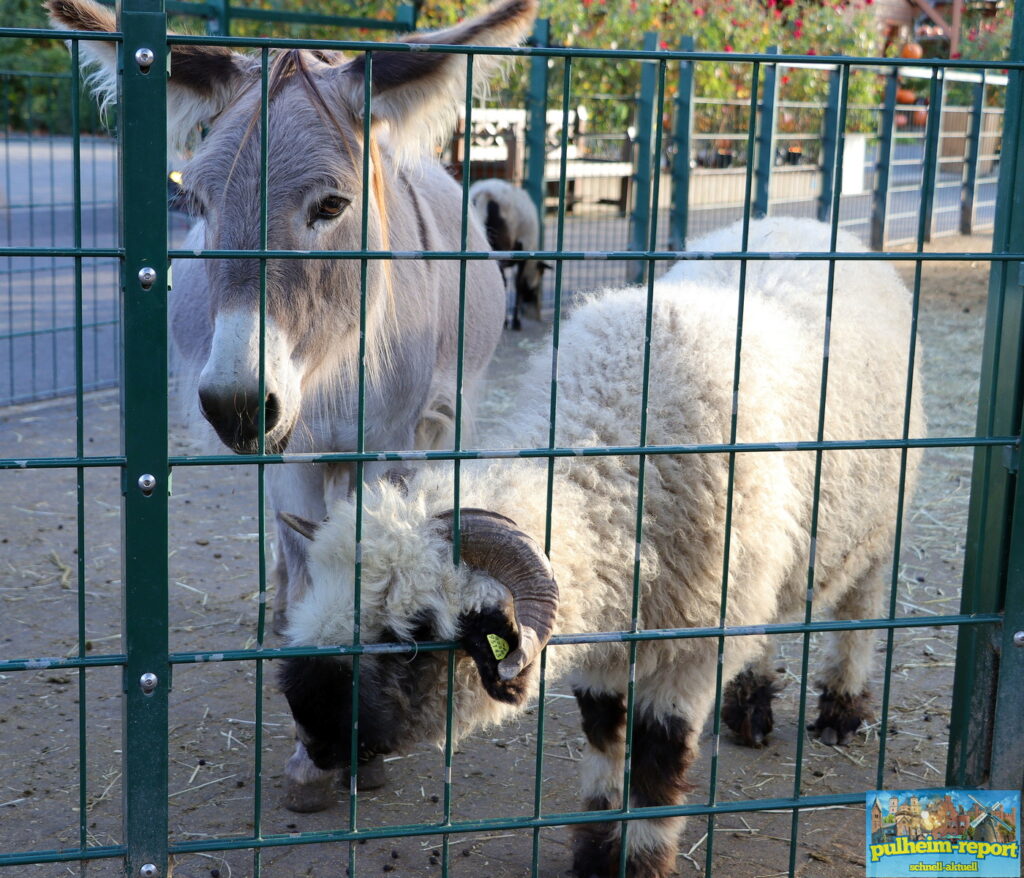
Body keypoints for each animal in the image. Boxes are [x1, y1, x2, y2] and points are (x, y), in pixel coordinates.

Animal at [276, 216, 925, 872]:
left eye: (412, 639)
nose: (311, 729)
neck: (616, 454)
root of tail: (805, 222)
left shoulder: (691, 647)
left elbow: (659, 756)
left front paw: (640, 862)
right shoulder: (611, 637)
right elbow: (606, 734)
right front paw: (594, 850)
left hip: (877, 527)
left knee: (859, 612)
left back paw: (841, 711)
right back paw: (750, 708)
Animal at [468, 178, 552, 327]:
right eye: (541, 274)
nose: (530, 300)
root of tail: (484, 193)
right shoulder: (523, 250)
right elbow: (518, 284)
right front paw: (516, 322)